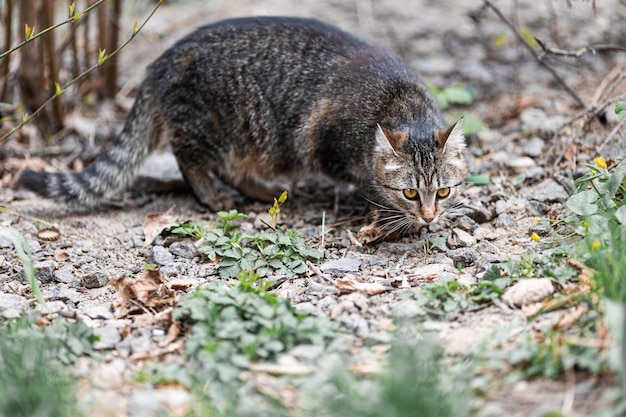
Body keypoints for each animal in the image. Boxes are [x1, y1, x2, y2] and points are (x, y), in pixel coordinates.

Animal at [17, 15, 466, 231]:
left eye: (443, 192)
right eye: (410, 193)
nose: (430, 216)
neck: (400, 103)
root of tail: (162, 59)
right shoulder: (327, 142)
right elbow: (366, 184)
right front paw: (386, 211)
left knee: (231, 169)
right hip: (220, 128)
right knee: (193, 160)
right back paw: (213, 197)